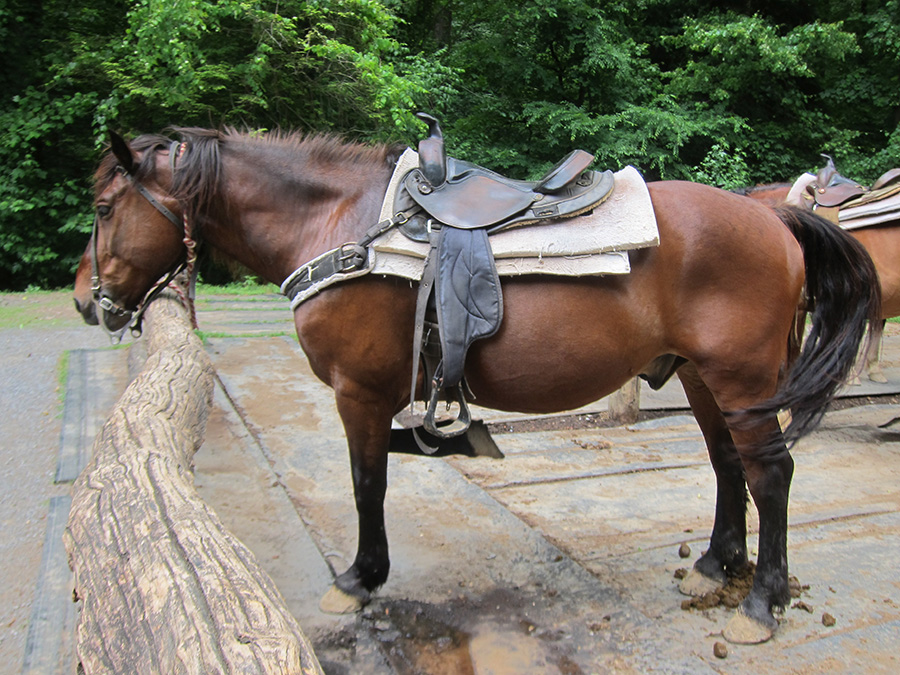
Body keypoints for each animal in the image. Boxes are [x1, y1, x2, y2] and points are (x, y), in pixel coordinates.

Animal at [72, 128, 880, 644]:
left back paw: (762, 604)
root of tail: (776, 218)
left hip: (740, 378)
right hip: (705, 379)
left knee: (771, 473)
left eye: (106, 208)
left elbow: (367, 481)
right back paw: (715, 567)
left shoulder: (359, 393)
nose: (86, 300)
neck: (339, 226)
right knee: (726, 464)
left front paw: (361, 576)